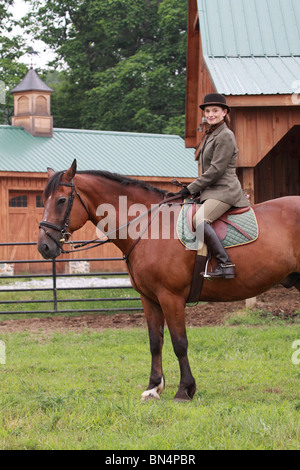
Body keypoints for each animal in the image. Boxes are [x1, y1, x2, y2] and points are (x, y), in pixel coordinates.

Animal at [37, 161, 300, 400]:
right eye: (43, 199)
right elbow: (156, 341)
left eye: (61, 200)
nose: (44, 246)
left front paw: (185, 389)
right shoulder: (149, 298)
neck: (150, 227)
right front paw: (154, 387)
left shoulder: (170, 297)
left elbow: (179, 342)